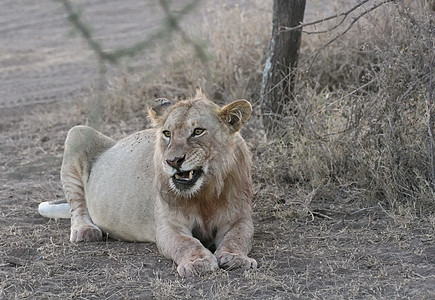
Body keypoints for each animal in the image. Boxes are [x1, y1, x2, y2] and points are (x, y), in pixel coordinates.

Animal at [39, 91, 258, 276]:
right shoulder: (168, 226)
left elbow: (237, 238)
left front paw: (236, 258)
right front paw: (198, 262)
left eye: (198, 131)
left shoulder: (239, 219)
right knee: (78, 206)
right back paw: (85, 230)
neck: (205, 194)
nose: (173, 161)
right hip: (78, 132)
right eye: (167, 133)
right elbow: (186, 243)